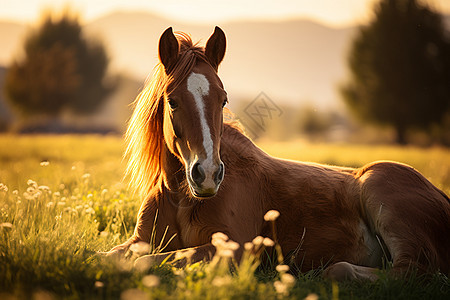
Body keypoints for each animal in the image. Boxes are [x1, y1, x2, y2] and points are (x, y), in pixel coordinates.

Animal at [107, 26, 448, 282]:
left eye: (223, 99)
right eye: (172, 100)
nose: (208, 175)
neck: (181, 197)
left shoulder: (232, 250)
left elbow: (151, 261)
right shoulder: (138, 242)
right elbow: (107, 257)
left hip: (381, 193)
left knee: (408, 270)